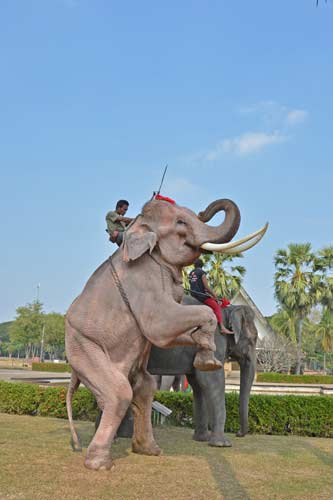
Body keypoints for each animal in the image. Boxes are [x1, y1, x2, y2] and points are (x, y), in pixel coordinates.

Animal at [66, 197, 266, 470]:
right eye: (181, 222)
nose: (240, 434)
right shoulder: (144, 281)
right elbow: (167, 334)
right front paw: (222, 445)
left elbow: (197, 382)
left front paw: (201, 439)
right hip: (83, 346)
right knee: (118, 393)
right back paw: (101, 462)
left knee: (142, 388)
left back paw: (146, 449)